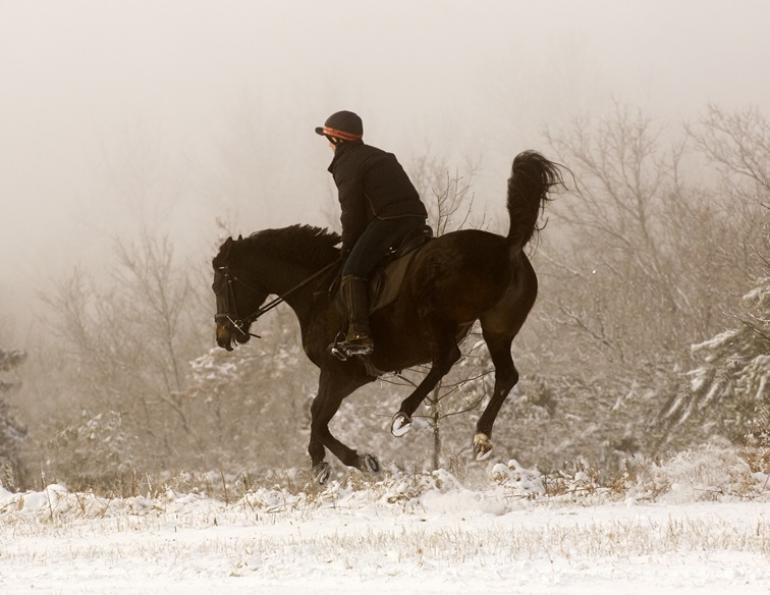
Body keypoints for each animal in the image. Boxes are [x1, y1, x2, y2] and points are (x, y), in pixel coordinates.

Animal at [213, 151, 560, 482]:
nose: (223, 336)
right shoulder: (356, 376)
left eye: (218, 285)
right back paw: (481, 437)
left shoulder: (337, 371)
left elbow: (317, 418)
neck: (317, 288)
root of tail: (507, 246)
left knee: (447, 358)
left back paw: (403, 415)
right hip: (497, 328)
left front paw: (339, 462)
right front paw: (343, 461)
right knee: (505, 375)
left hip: (437, 315)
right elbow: (317, 416)